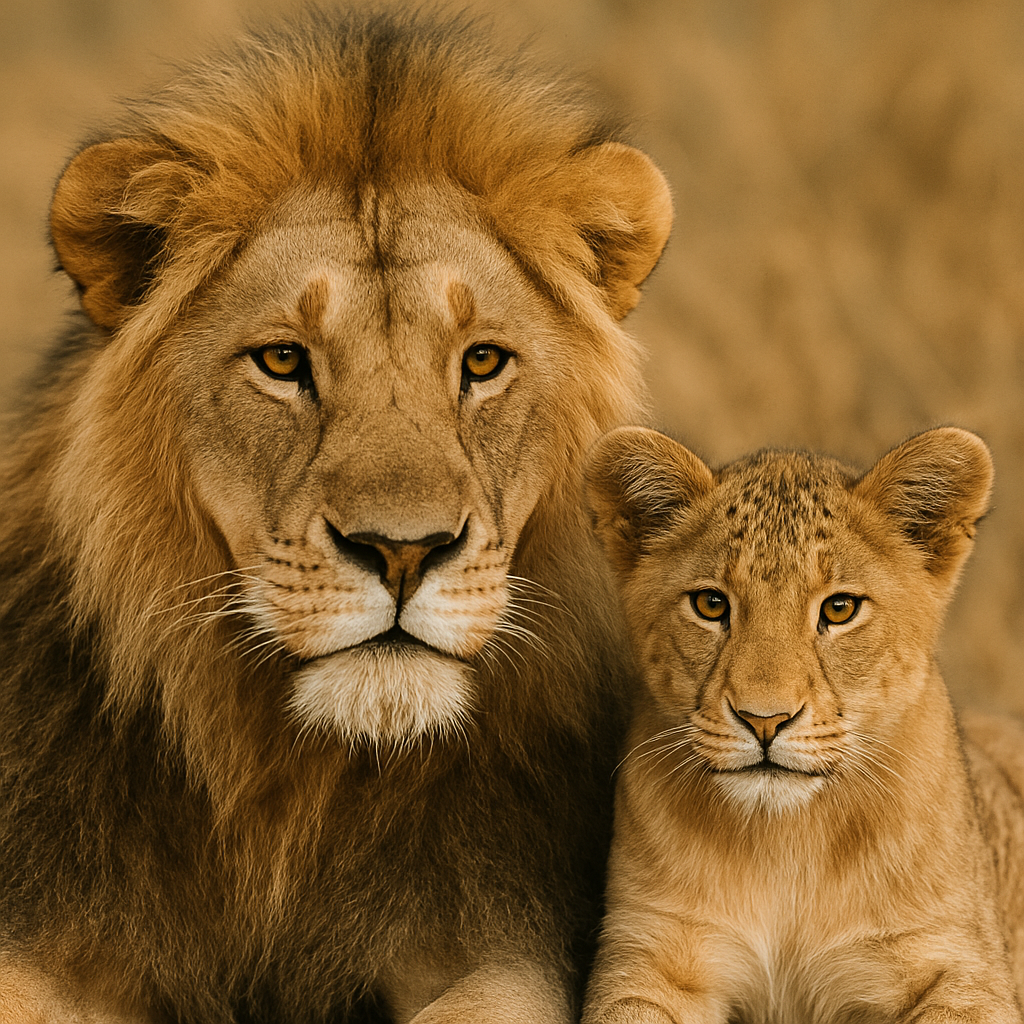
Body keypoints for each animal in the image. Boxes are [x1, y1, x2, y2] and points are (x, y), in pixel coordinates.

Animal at [581, 426, 1024, 1023]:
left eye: (839, 609)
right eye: (710, 604)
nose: (764, 720)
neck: (786, 842)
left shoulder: (962, 964)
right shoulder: (646, 958)